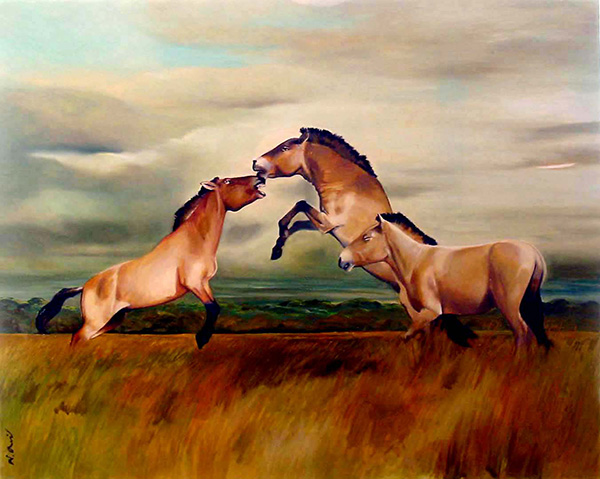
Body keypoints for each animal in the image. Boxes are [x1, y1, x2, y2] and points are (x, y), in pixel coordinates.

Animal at [36, 175, 266, 349]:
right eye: (228, 181)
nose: (260, 178)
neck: (194, 240)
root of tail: (84, 286)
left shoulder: (203, 283)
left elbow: (214, 307)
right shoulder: (195, 283)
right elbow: (213, 308)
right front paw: (202, 339)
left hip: (113, 320)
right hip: (96, 321)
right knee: (76, 337)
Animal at [252, 127, 476, 346]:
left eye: (285, 148)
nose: (256, 163)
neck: (347, 185)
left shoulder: (328, 222)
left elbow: (299, 205)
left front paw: (277, 246)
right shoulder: (324, 225)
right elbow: (296, 222)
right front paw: (277, 249)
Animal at [338, 213, 552, 349]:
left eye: (366, 238)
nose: (342, 260)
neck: (416, 261)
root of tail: (533, 252)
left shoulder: (432, 311)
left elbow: (410, 333)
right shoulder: (427, 316)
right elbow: (425, 339)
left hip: (509, 305)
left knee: (522, 331)